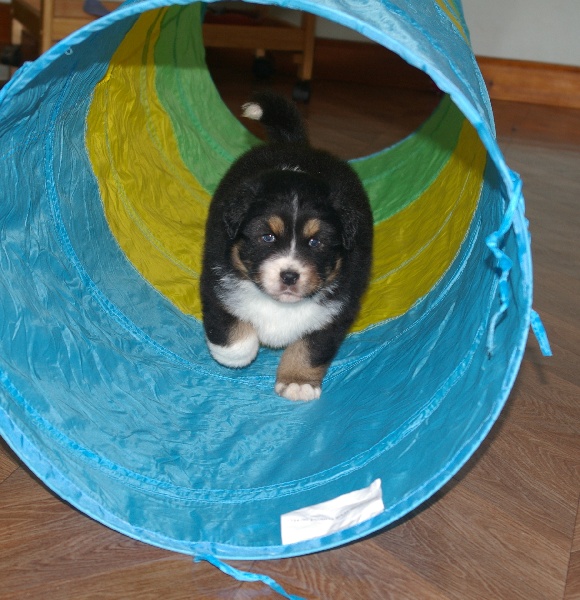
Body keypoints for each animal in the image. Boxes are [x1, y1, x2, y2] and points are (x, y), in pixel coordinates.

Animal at [200, 92, 373, 401]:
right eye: (267, 237)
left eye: (316, 242)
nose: (290, 276)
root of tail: (295, 145)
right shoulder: (216, 280)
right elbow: (230, 331)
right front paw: (236, 357)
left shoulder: (338, 309)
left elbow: (310, 349)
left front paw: (298, 382)